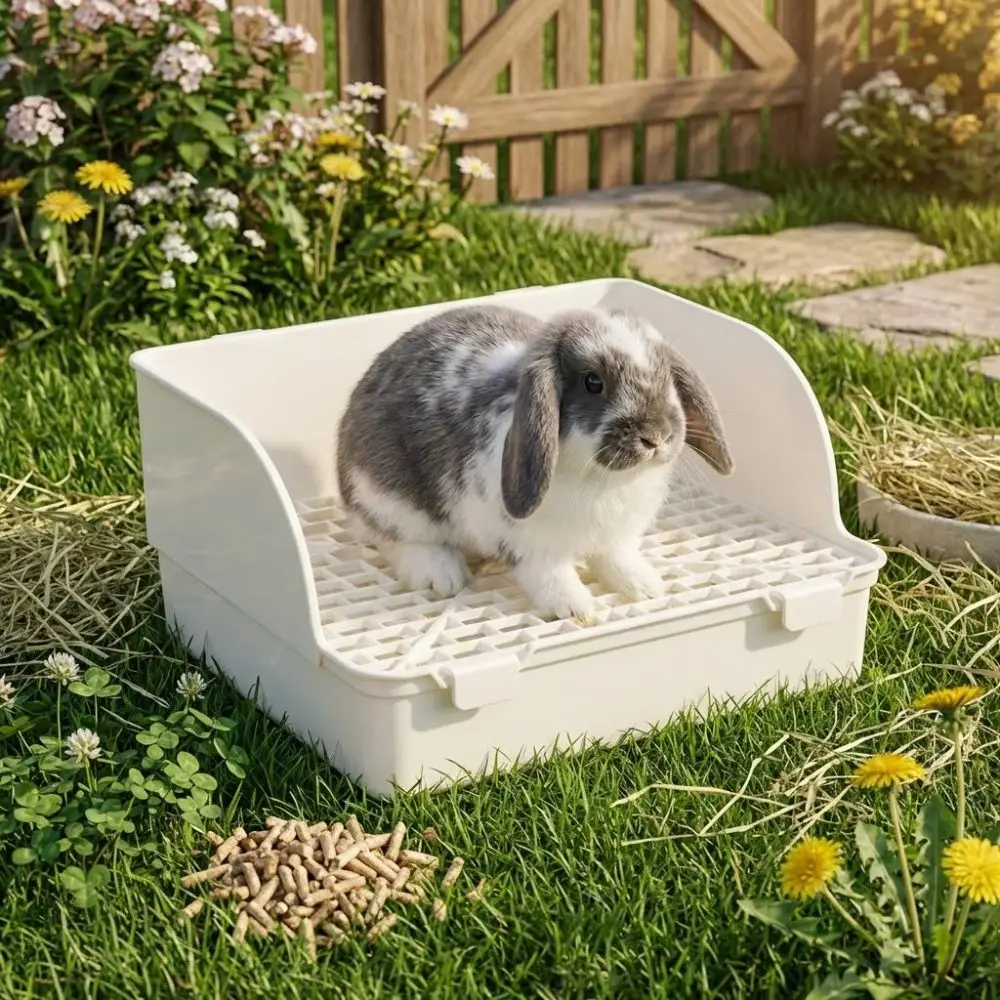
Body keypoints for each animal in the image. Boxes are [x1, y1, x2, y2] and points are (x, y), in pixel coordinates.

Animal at [335, 302, 733, 623]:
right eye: (593, 382)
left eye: (667, 377)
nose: (656, 437)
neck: (600, 479)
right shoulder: (531, 547)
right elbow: (551, 576)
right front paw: (575, 609)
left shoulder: (615, 538)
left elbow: (616, 558)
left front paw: (645, 586)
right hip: (389, 499)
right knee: (390, 538)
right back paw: (442, 575)